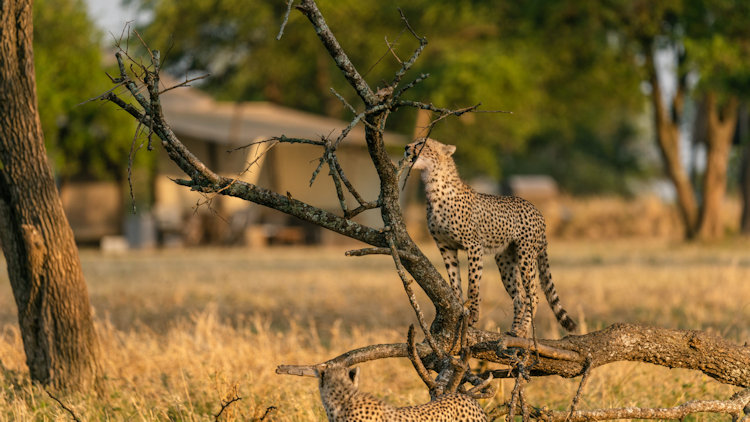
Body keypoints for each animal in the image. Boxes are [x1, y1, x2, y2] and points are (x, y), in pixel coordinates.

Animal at [406, 138, 576, 336]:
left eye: (422, 143)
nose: (406, 148)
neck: (433, 185)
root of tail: (538, 211)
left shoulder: (474, 246)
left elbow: (473, 284)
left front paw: (473, 316)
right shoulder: (446, 246)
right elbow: (455, 280)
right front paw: (459, 308)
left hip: (525, 255)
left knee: (533, 295)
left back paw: (521, 330)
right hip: (505, 260)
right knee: (519, 296)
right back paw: (515, 330)